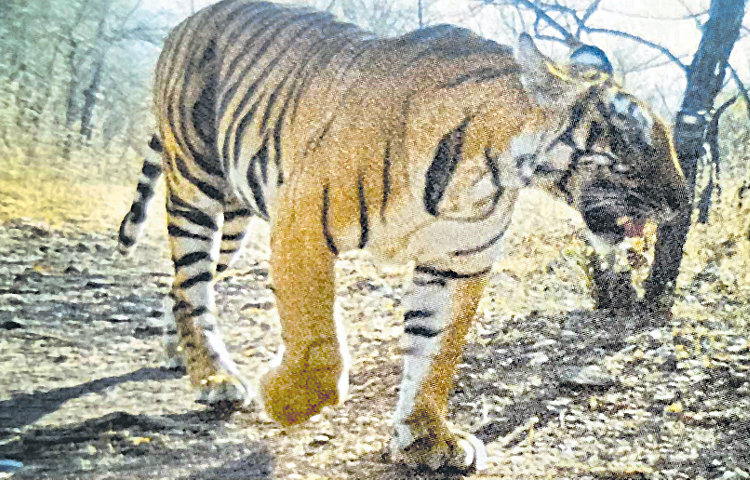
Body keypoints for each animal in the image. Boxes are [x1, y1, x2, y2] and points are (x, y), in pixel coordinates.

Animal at [117, 0, 688, 471]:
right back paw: (215, 378)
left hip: (234, 218)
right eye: (632, 144)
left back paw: (180, 354)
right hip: (196, 187)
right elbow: (317, 344)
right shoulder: (303, 222)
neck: (487, 172)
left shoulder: (457, 264)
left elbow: (435, 354)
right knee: (192, 283)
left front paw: (426, 438)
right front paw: (286, 401)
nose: (683, 203)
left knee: (182, 288)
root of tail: (189, 20)